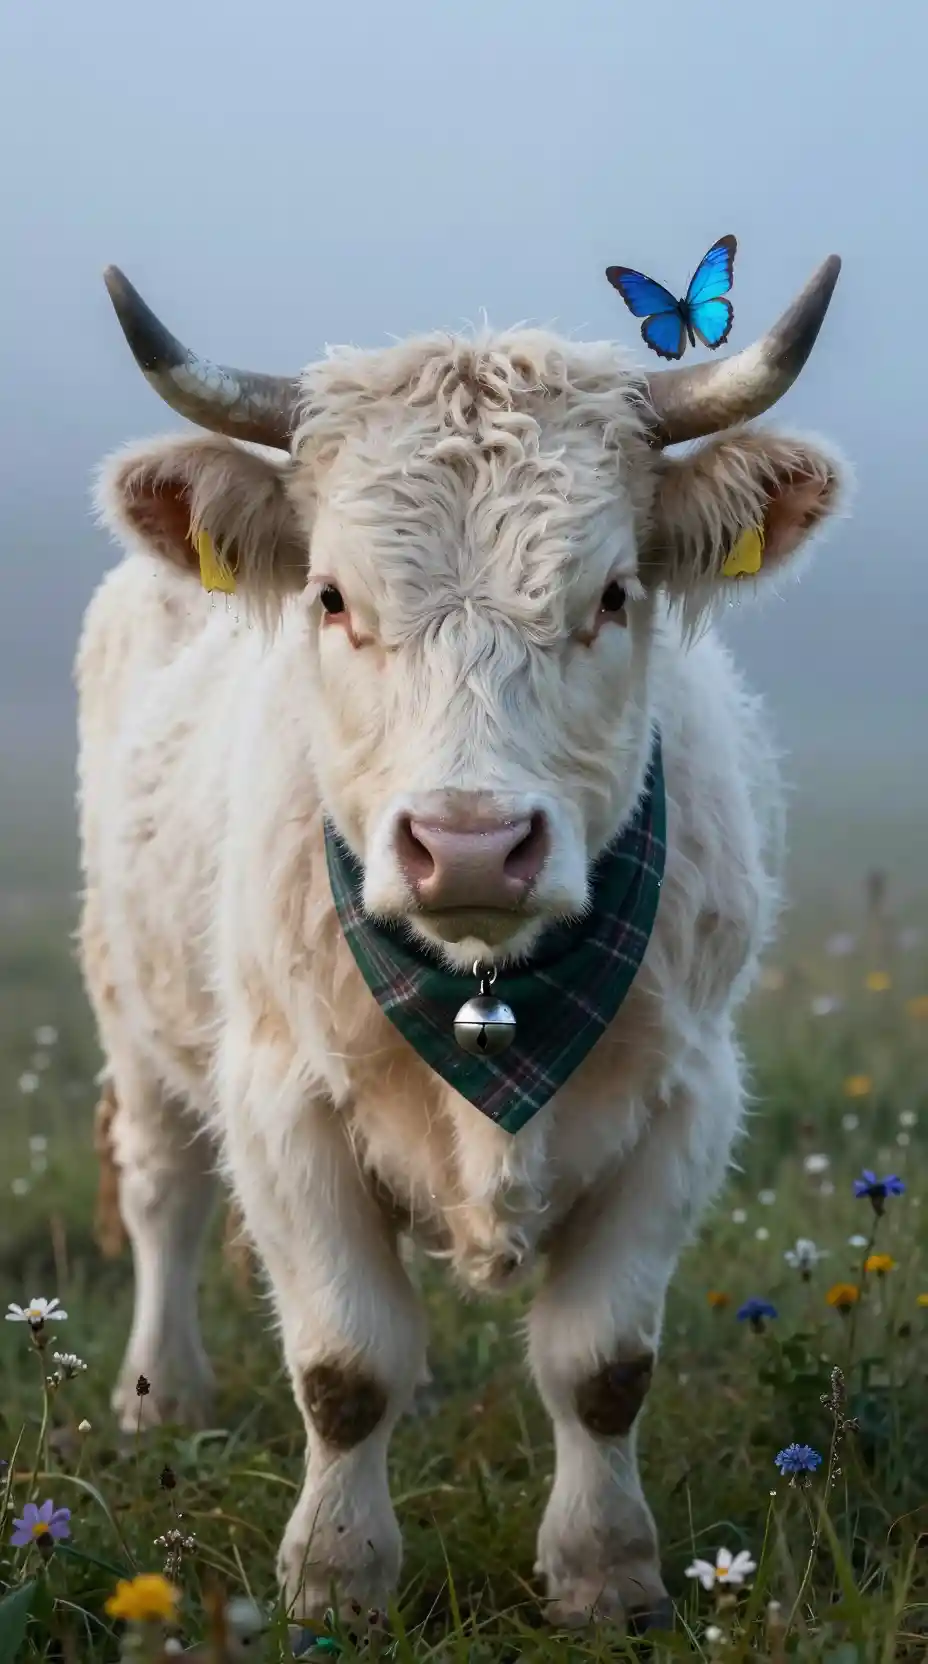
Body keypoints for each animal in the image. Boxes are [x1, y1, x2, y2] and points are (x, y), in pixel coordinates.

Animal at [77, 254, 845, 1631]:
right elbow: (344, 1365)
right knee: (161, 1191)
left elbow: (602, 1365)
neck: (489, 994)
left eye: (611, 595)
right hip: (133, 995)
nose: (473, 843)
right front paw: (336, 1576)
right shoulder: (280, 1100)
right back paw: (159, 1393)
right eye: (332, 597)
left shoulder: (684, 1099)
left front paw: (607, 1572)